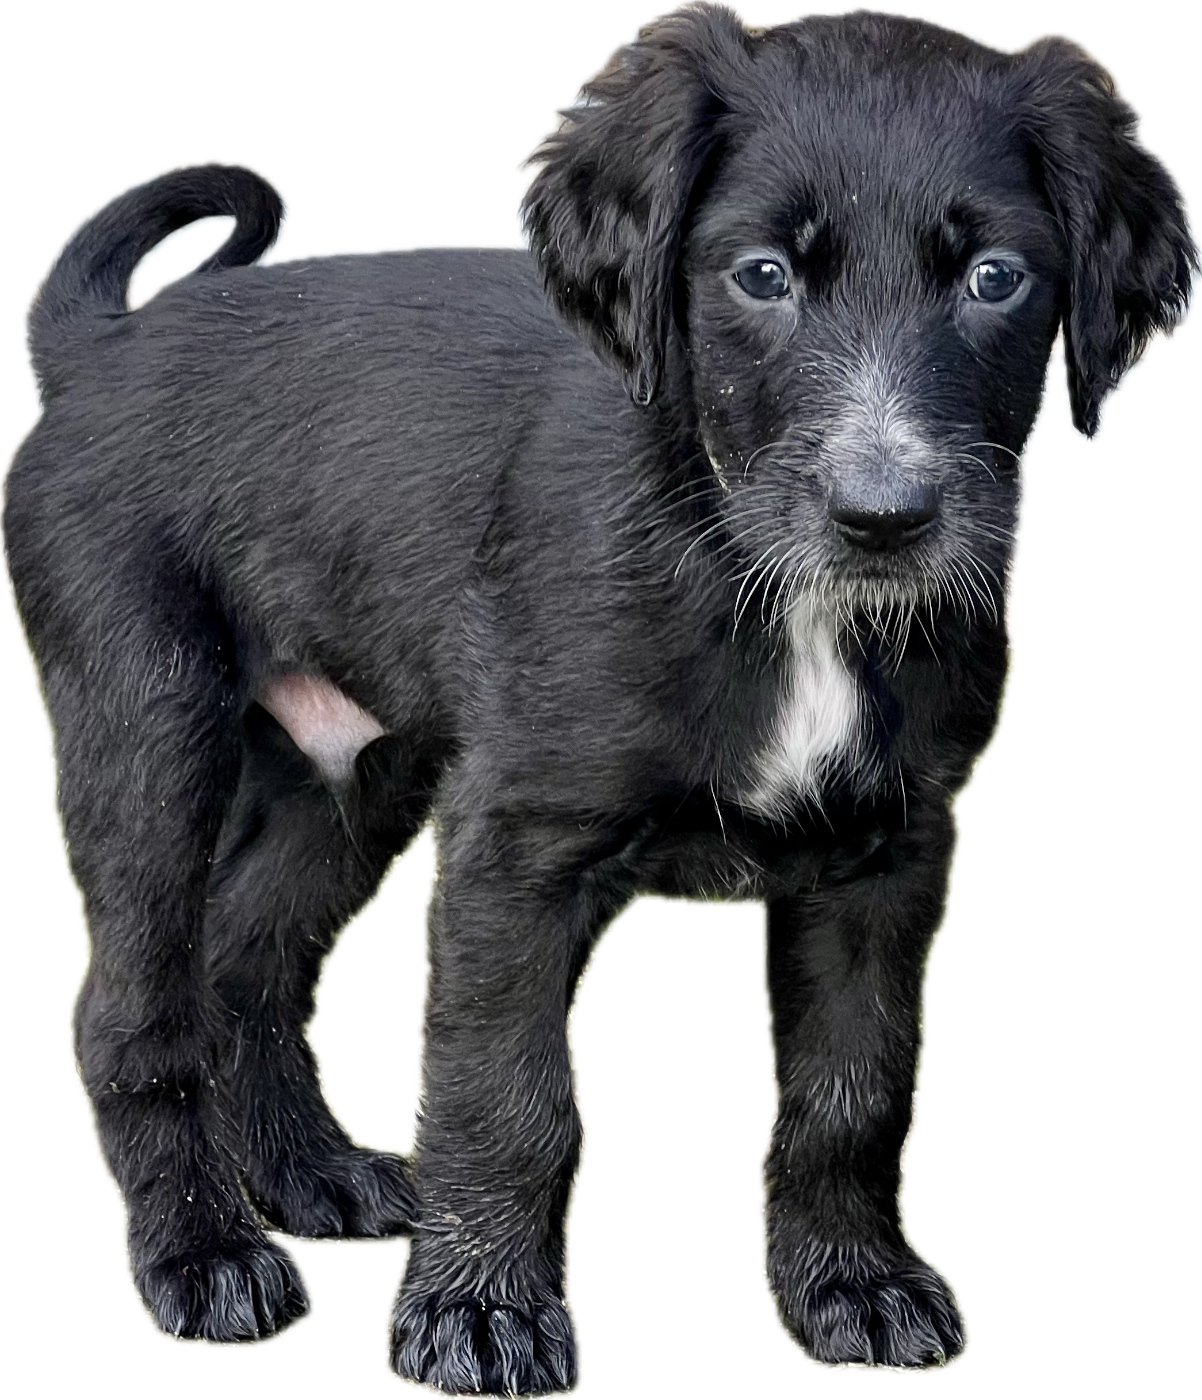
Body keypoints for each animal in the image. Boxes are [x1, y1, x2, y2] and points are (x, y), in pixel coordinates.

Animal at [2, 1, 1198, 1391]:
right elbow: (507, 1091)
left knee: (245, 955)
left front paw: (851, 1282)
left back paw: (311, 1173)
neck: (765, 581)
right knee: (130, 1007)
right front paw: (478, 1313)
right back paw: (201, 1255)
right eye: (761, 275)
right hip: (149, 721)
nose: (883, 519)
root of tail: (100, 347)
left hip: (348, 767)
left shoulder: (889, 851)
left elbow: (852, 1083)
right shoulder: (519, 846)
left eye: (993, 278)